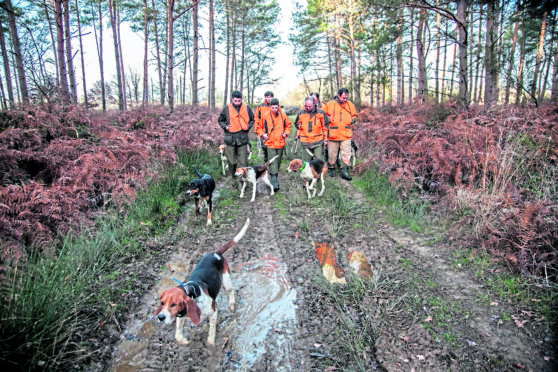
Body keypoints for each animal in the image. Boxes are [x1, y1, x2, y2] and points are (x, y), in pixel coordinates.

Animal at [153, 218, 249, 346]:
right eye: (162, 303)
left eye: (174, 304)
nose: (160, 317)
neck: (193, 295)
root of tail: (216, 253)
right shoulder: (181, 317)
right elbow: (178, 335)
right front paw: (184, 341)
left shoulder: (213, 311)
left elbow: (212, 329)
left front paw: (210, 341)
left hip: (226, 280)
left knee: (231, 292)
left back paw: (232, 305)